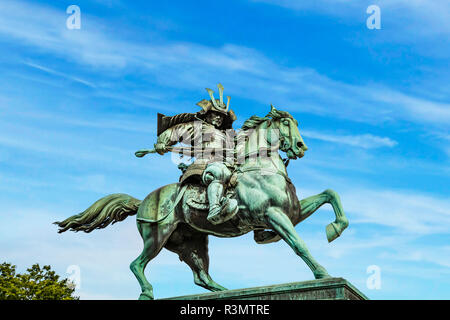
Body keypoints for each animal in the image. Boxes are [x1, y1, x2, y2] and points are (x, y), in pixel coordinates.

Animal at [55, 106, 348, 298]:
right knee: (136, 264)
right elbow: (299, 245)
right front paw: (323, 274)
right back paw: (148, 293)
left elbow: (330, 193)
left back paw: (225, 292)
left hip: (192, 243)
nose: (300, 147)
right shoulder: (274, 215)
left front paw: (335, 228)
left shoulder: (292, 213)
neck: (261, 168)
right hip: (157, 236)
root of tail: (143, 201)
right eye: (286, 124)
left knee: (201, 277)